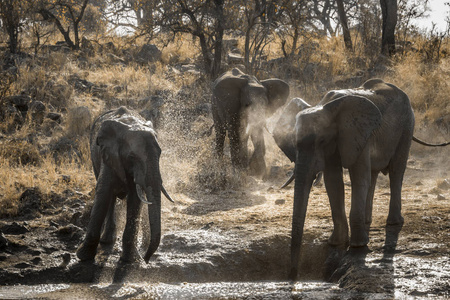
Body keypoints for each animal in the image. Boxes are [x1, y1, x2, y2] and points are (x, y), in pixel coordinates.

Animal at [76, 106, 173, 262]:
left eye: (160, 154)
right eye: (132, 157)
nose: (146, 259)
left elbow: (135, 199)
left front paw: (130, 260)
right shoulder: (108, 155)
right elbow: (103, 193)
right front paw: (83, 257)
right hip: (94, 158)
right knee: (110, 198)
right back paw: (107, 240)